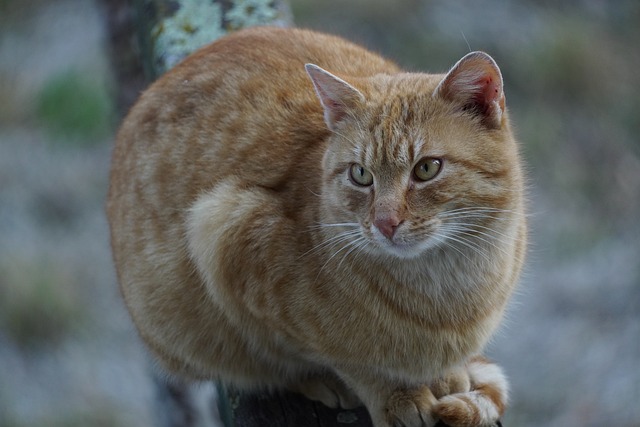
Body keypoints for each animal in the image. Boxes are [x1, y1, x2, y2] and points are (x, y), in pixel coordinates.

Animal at [106, 25, 524, 427]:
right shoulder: (226, 234)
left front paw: (447, 375)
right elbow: (349, 360)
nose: (385, 223)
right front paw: (396, 395)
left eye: (426, 169)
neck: (448, 289)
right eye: (361, 175)